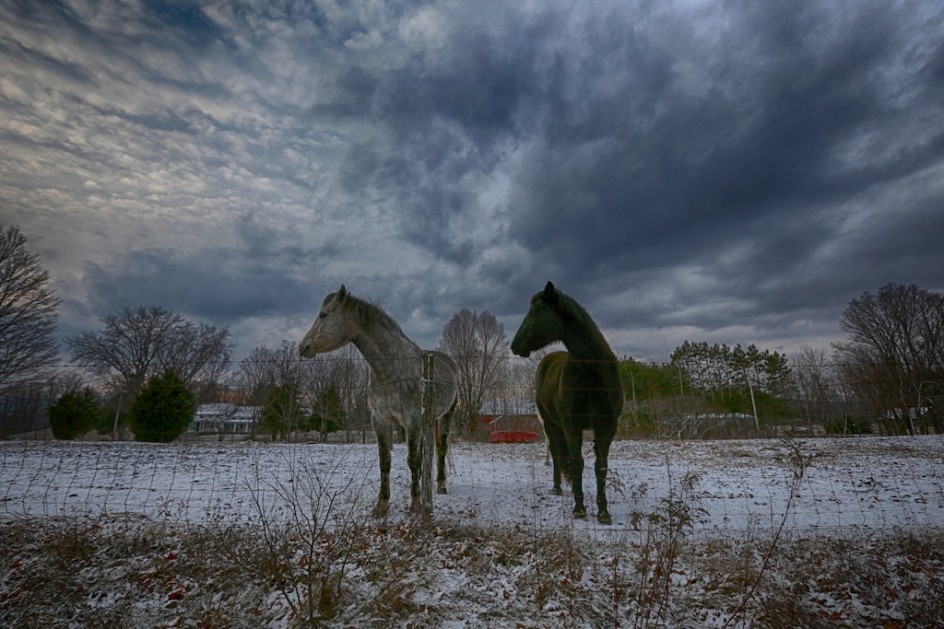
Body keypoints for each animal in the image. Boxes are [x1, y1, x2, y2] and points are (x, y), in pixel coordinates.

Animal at [512, 282, 624, 524]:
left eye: (536, 312)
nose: (514, 345)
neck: (592, 372)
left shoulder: (607, 427)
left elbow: (601, 467)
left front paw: (603, 512)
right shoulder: (573, 426)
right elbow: (577, 462)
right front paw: (579, 509)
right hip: (551, 424)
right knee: (557, 454)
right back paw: (557, 487)